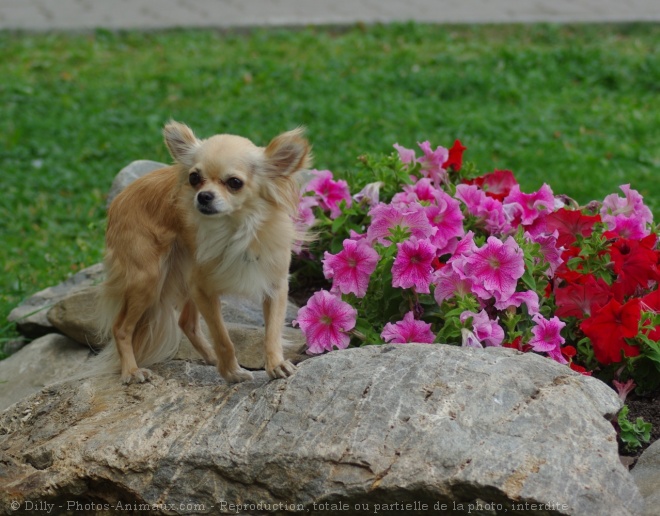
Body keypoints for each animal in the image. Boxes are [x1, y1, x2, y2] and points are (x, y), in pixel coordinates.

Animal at [97, 122, 312, 382]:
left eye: (234, 183)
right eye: (194, 178)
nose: (203, 196)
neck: (236, 229)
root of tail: (117, 201)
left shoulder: (275, 286)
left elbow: (272, 332)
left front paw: (276, 364)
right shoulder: (203, 290)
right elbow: (223, 337)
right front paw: (231, 372)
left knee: (185, 322)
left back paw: (210, 358)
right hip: (148, 280)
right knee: (121, 328)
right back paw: (131, 370)